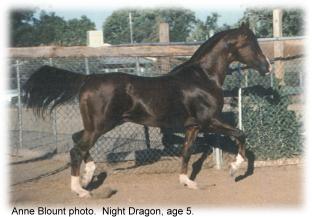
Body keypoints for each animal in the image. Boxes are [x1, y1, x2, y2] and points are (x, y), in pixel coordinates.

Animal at [23, 23, 270, 197]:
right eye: (251, 44)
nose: (266, 66)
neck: (203, 78)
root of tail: (87, 79)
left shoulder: (193, 126)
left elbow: (187, 152)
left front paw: (188, 182)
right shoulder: (209, 121)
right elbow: (240, 134)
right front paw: (235, 169)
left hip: (95, 125)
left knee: (77, 140)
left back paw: (88, 176)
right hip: (101, 125)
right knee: (76, 149)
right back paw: (81, 190)